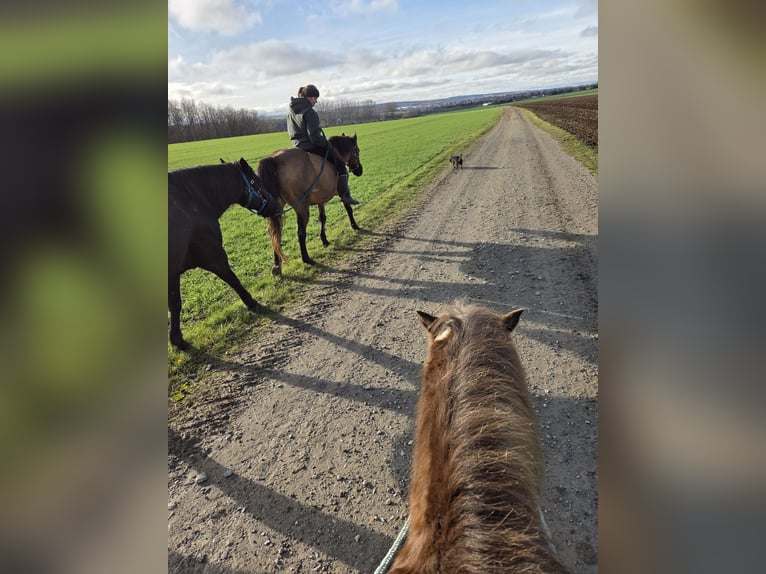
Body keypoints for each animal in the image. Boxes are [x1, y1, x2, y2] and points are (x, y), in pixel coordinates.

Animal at [168, 158, 277, 350]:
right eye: (256, 181)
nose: (273, 203)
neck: (190, 202)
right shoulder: (214, 257)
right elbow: (233, 280)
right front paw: (251, 302)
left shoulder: (173, 274)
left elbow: (175, 304)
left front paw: (178, 340)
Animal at [256, 133, 363, 276]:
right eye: (357, 151)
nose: (359, 170)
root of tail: (273, 159)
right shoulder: (341, 193)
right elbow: (348, 208)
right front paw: (354, 226)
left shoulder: (320, 200)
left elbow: (322, 218)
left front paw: (324, 240)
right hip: (302, 207)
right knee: (300, 232)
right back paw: (306, 259)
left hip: (277, 209)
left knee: (275, 234)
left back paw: (277, 267)